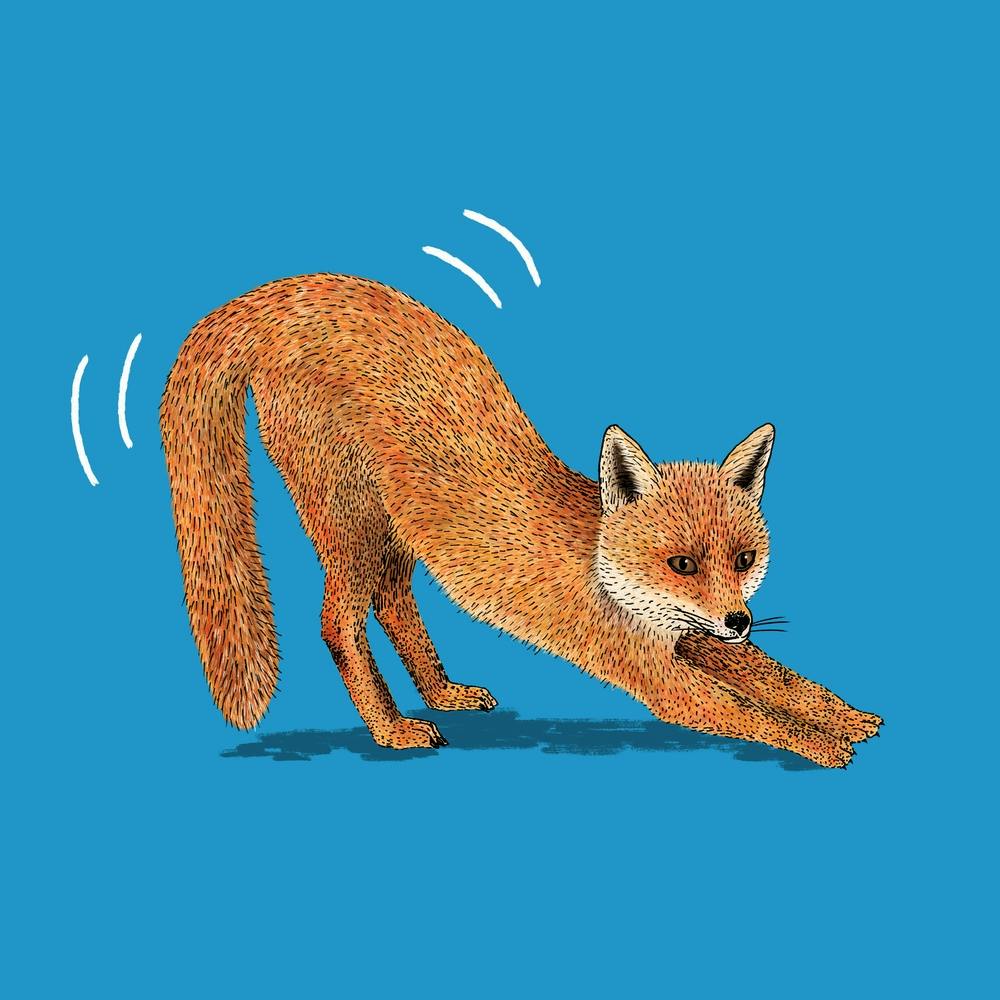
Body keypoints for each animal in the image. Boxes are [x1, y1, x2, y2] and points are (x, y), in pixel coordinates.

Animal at [161, 273, 882, 768]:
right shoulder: (657, 674)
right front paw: (823, 744)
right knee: (337, 623)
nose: (740, 619)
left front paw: (848, 716)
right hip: (352, 525)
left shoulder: (692, 638)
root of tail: (290, 291)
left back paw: (441, 692)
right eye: (681, 564)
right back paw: (392, 729)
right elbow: (753, 713)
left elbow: (788, 684)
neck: (605, 567)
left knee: (392, 602)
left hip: (395, 532)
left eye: (743, 560)